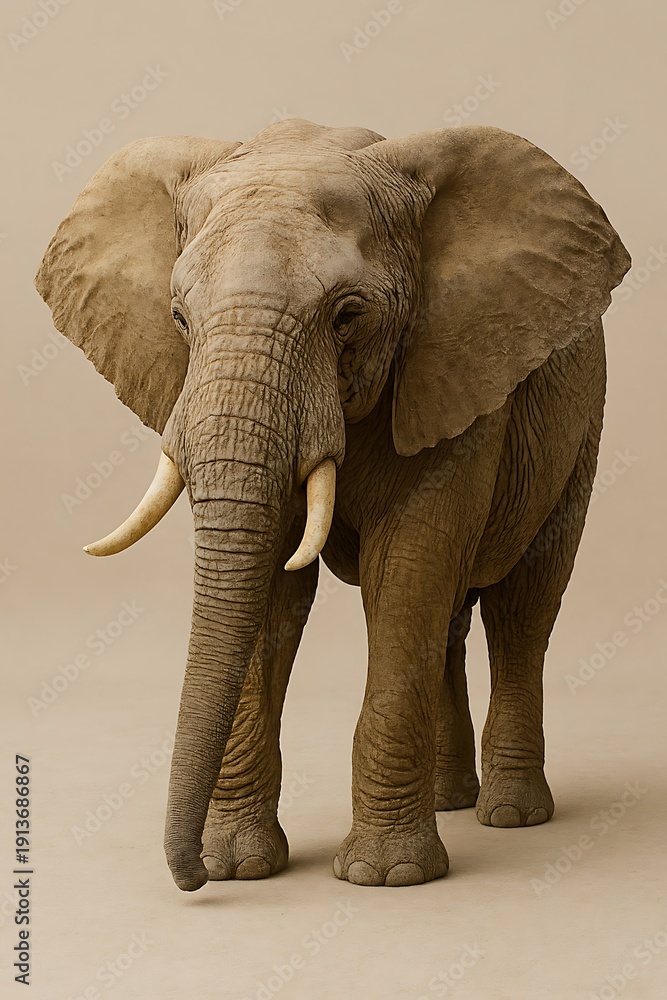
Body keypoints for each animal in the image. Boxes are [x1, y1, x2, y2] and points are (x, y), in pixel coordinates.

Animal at [35, 119, 630, 892]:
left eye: (347, 315)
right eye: (179, 319)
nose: (188, 879)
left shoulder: (452, 370)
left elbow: (406, 571)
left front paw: (387, 877)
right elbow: (270, 590)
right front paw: (239, 867)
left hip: (580, 423)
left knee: (521, 607)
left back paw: (511, 815)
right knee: (450, 621)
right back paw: (450, 801)